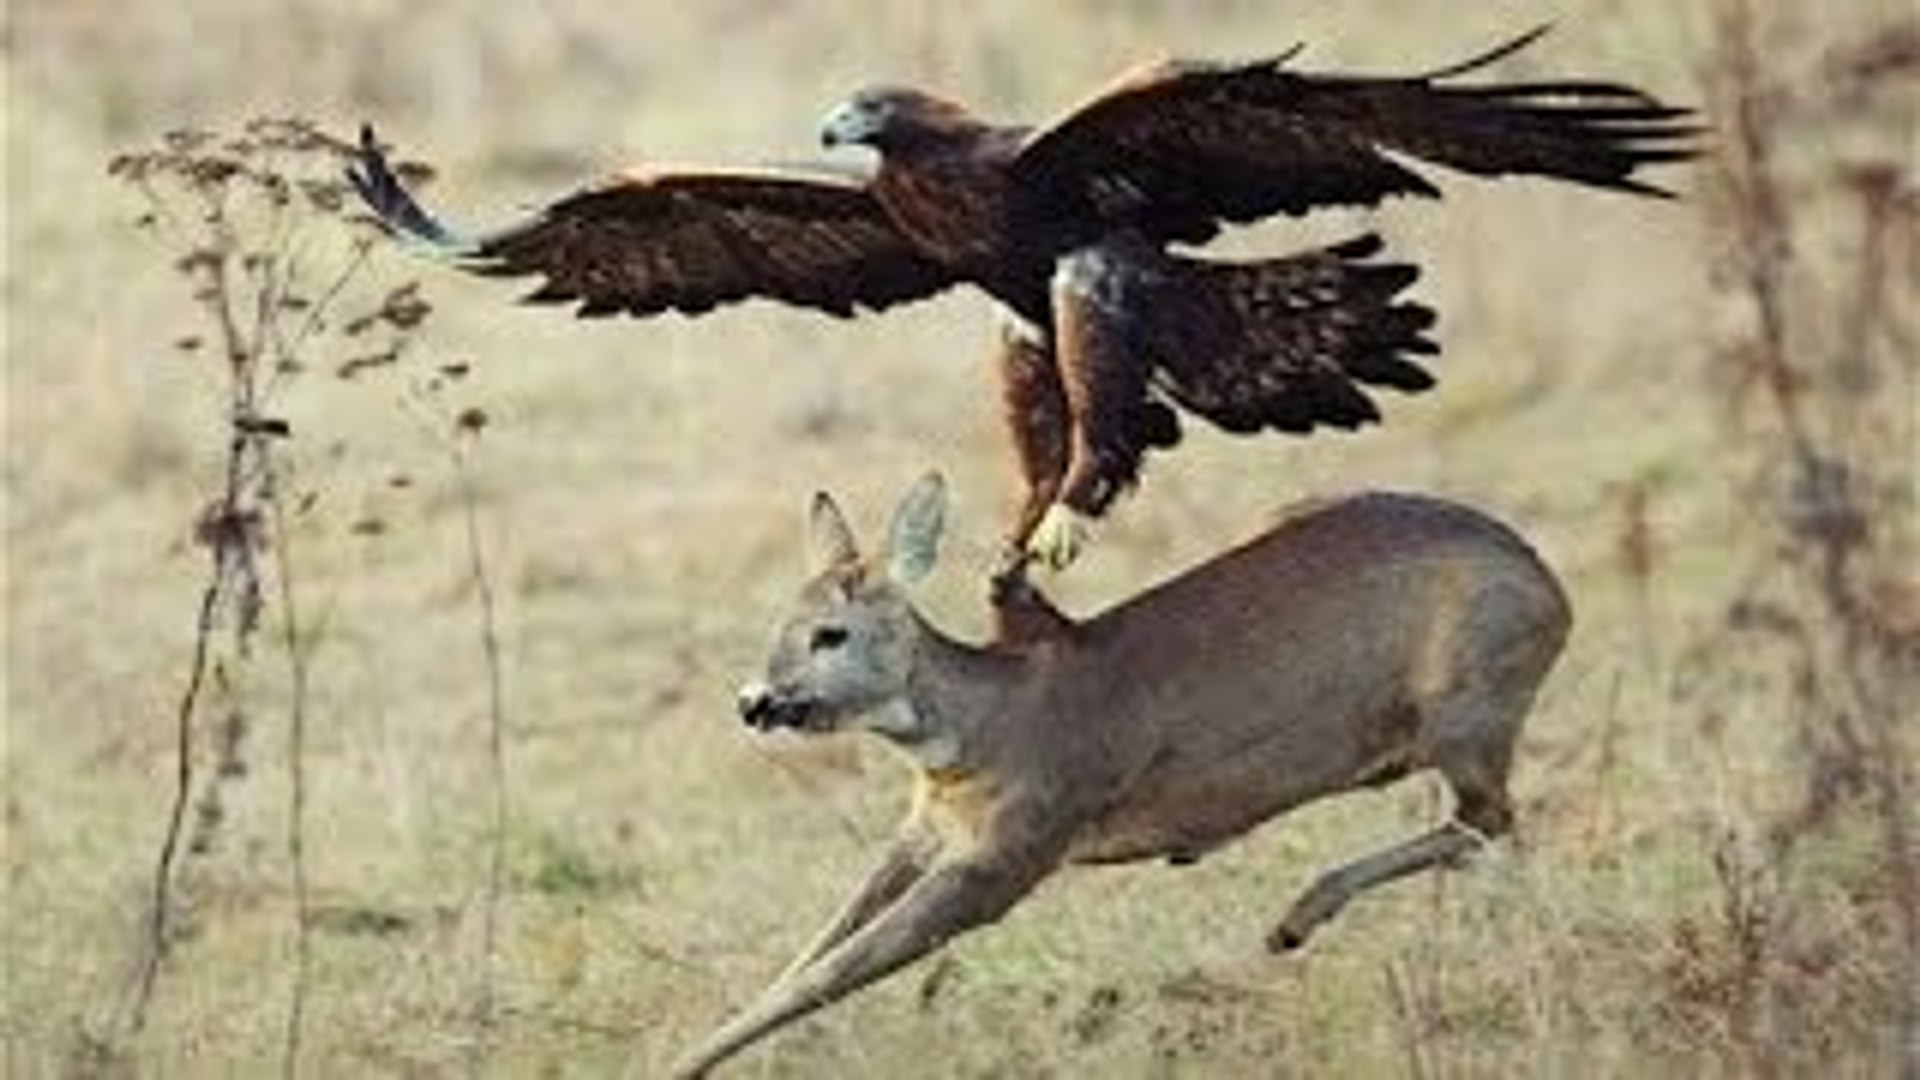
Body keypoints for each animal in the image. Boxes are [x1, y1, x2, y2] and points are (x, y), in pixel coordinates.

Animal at [671, 472, 1571, 1076]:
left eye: (830, 635)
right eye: (781, 624)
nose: (754, 702)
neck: (987, 724)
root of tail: (1555, 595)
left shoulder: (1016, 848)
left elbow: (833, 969)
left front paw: (679, 1063)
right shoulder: (925, 828)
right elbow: (817, 944)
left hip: (1467, 705)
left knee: (1489, 819)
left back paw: (1297, 916)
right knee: (1488, 821)